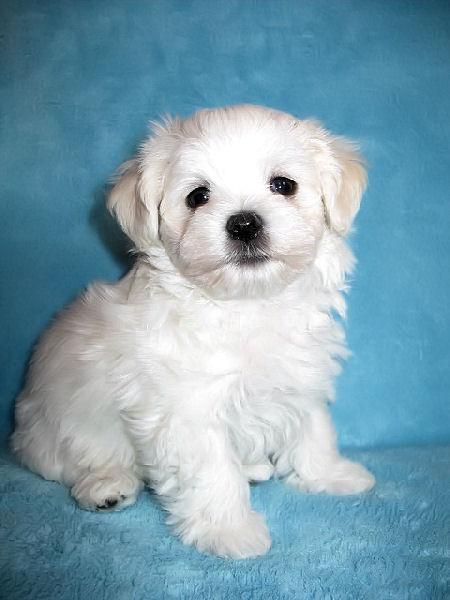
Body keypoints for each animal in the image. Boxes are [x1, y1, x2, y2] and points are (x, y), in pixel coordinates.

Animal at [12, 103, 374, 556]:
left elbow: (314, 429)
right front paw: (230, 531)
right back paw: (106, 486)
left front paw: (331, 474)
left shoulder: (300, 374)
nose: (244, 223)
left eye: (283, 185)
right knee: (75, 463)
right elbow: (213, 472)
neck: (247, 304)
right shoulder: (187, 409)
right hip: (62, 431)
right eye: (198, 196)